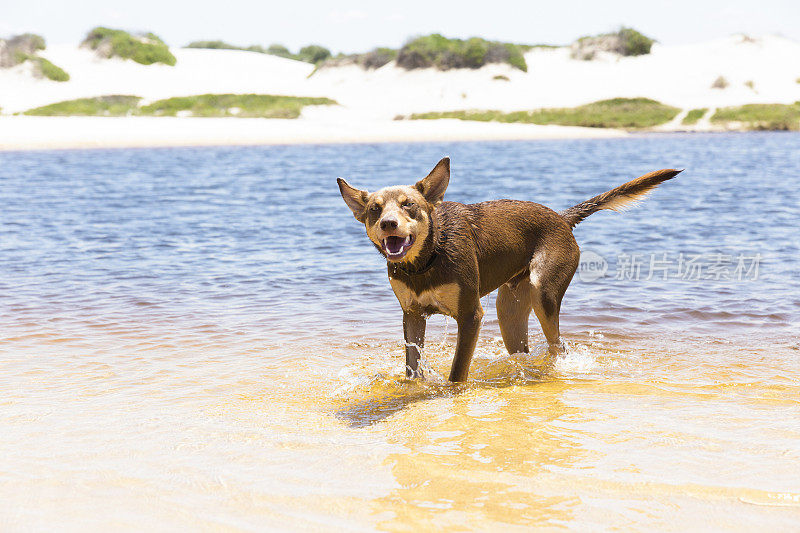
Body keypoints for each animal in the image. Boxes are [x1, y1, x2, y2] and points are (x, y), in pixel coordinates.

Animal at [334, 158, 680, 382]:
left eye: (409, 205)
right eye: (375, 210)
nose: (388, 223)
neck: (427, 260)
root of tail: (561, 217)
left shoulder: (470, 315)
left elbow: (458, 371)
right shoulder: (412, 314)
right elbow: (411, 366)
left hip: (544, 293)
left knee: (558, 346)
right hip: (509, 310)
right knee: (522, 350)